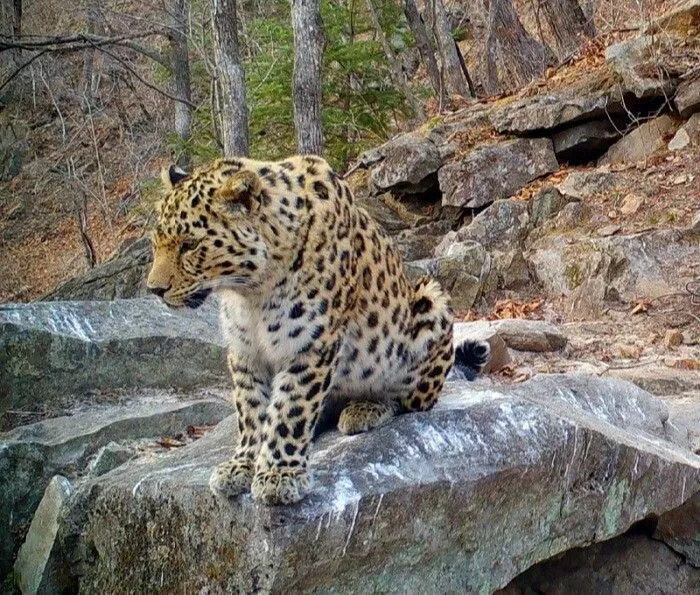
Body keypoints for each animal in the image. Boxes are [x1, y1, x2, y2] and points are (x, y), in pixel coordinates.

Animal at [147, 156, 486, 506]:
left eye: (190, 245)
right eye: (155, 243)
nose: (154, 290)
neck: (251, 292)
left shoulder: (309, 346)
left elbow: (290, 410)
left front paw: (279, 475)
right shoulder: (244, 353)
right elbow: (251, 410)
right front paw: (242, 465)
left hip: (430, 302)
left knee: (407, 399)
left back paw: (365, 409)